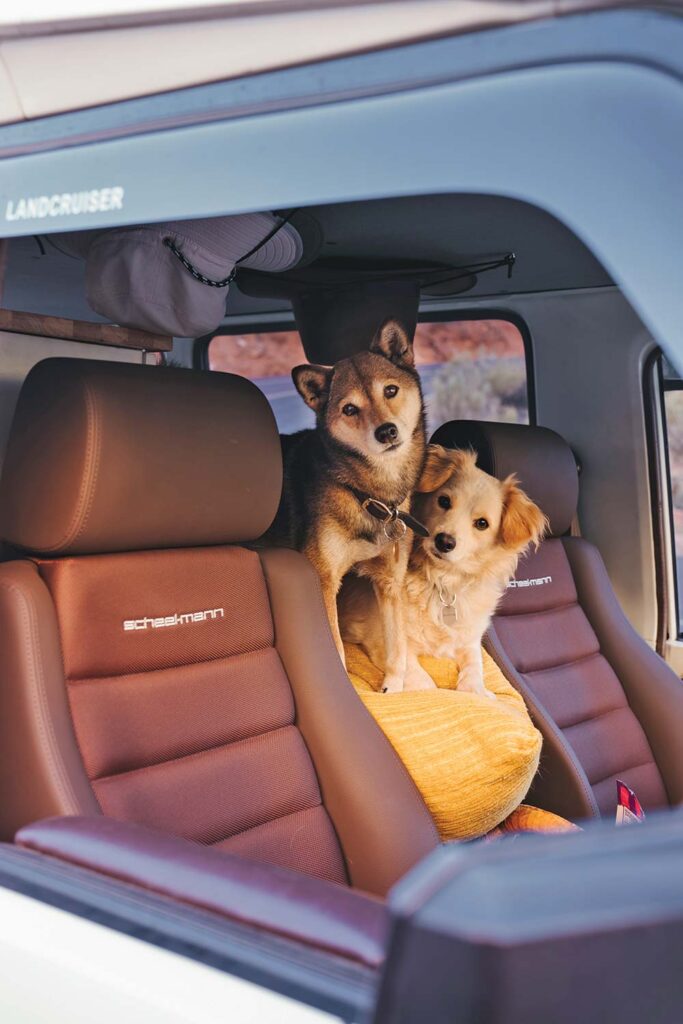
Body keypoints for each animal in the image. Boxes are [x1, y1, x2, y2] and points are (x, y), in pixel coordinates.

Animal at [264, 317, 428, 688]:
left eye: (390, 391)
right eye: (350, 409)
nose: (386, 432)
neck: (367, 494)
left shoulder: (389, 581)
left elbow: (396, 645)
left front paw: (392, 688)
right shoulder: (323, 580)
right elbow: (336, 650)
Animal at [339, 446, 548, 696]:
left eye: (482, 523)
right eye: (444, 500)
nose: (444, 542)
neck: (443, 581)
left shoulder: (469, 642)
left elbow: (475, 668)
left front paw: (478, 691)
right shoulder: (385, 641)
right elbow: (423, 682)